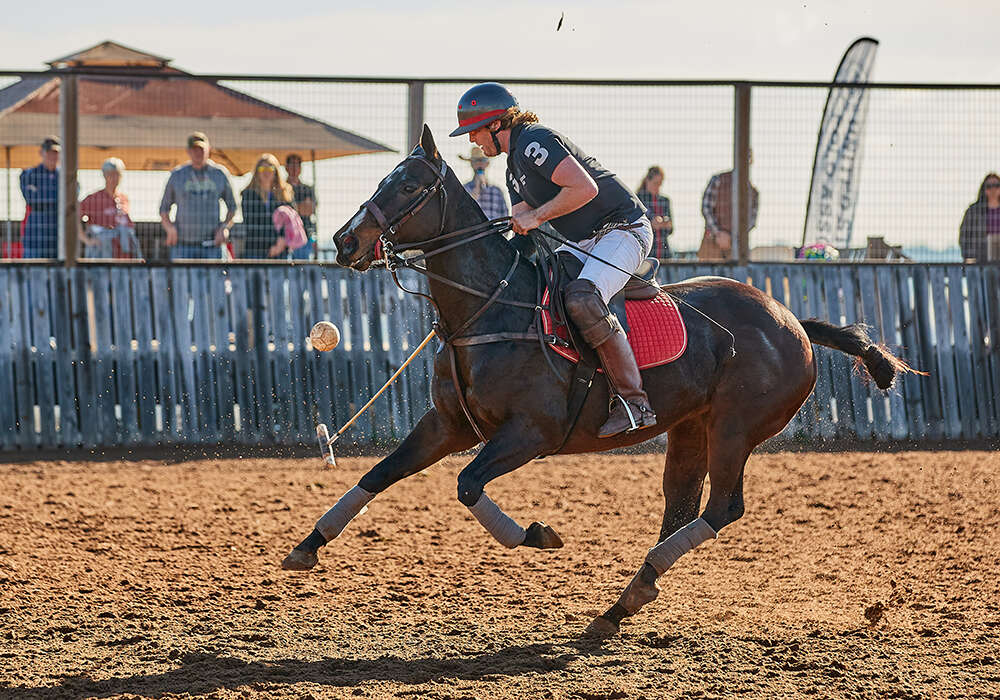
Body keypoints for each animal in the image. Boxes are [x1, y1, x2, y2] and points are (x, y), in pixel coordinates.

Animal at [282, 124, 916, 636]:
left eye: (410, 187)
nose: (344, 241)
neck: (487, 308)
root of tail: (794, 322)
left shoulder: (532, 433)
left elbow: (466, 485)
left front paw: (539, 534)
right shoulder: (447, 425)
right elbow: (380, 473)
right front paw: (305, 547)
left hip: (737, 427)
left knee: (723, 507)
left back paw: (632, 589)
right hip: (692, 425)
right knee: (680, 505)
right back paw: (625, 601)